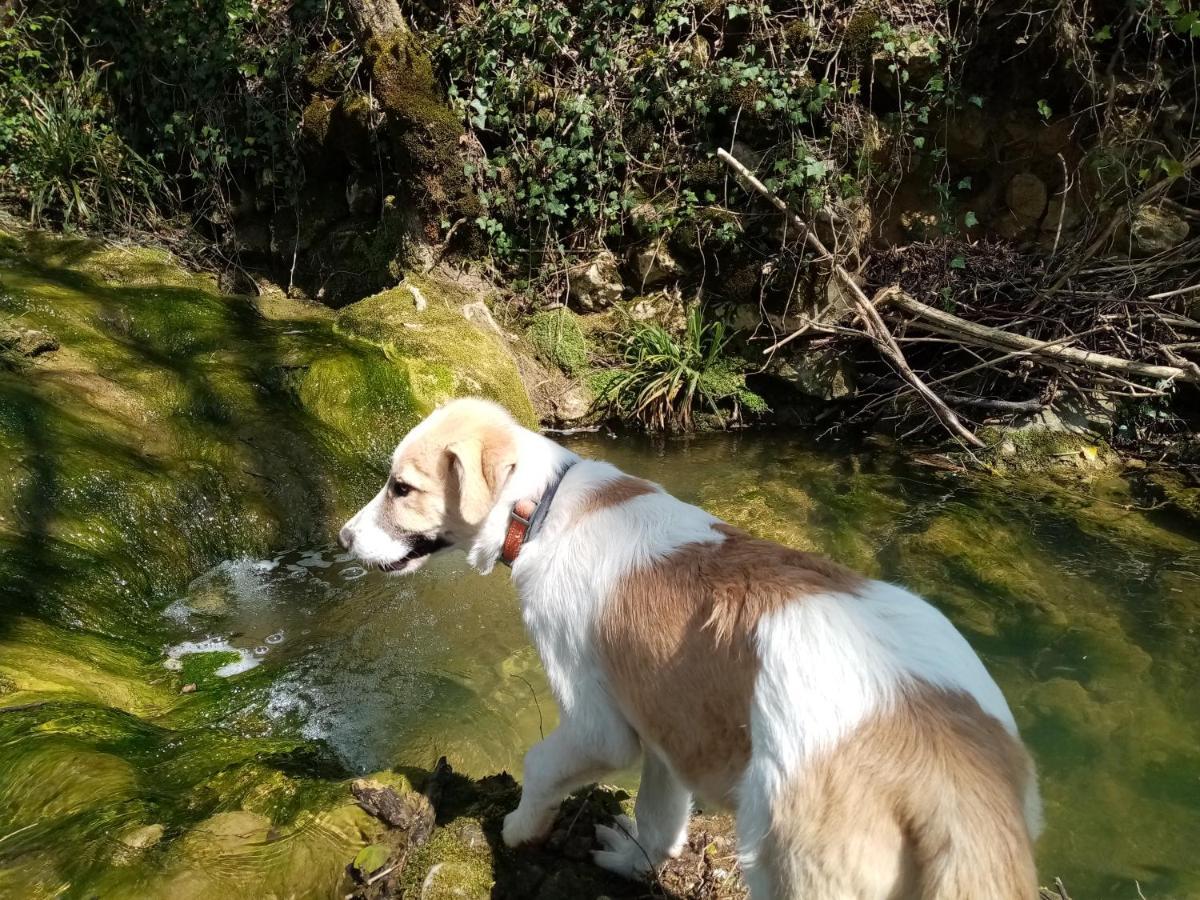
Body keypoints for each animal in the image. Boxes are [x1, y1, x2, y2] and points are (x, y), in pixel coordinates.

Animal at [338, 398, 1041, 897]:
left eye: (401, 488)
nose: (342, 539)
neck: (542, 508)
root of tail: (950, 765)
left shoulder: (599, 726)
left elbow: (540, 767)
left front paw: (516, 829)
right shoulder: (666, 728)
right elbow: (659, 817)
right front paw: (630, 860)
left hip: (789, 859)